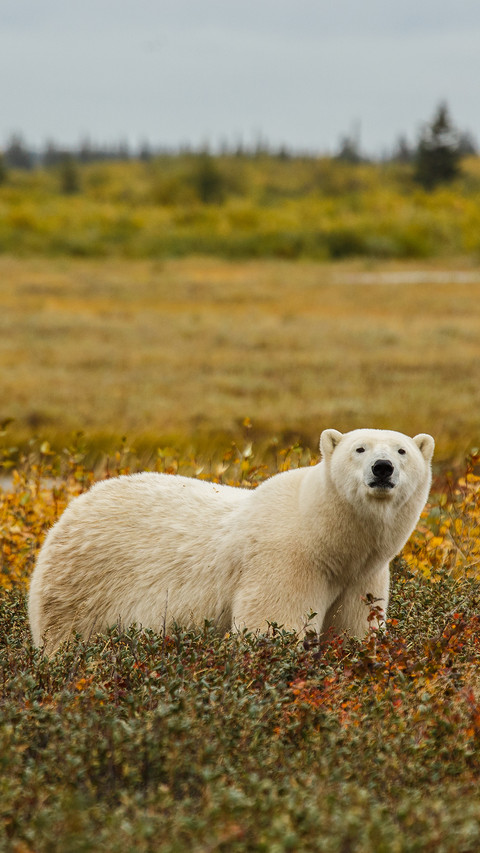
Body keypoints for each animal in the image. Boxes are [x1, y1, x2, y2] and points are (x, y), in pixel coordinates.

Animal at [28, 428, 434, 654]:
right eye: (359, 449)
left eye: (402, 451)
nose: (382, 468)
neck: (325, 539)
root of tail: (70, 509)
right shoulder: (285, 561)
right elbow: (271, 625)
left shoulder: (362, 576)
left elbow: (355, 629)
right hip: (86, 587)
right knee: (67, 637)